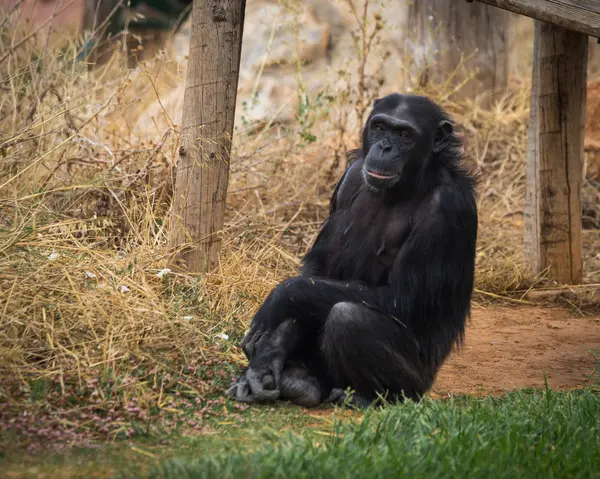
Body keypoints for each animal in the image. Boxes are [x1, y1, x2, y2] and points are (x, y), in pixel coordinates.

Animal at [225, 93, 478, 408]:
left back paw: (368, 397)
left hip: (417, 384)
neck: (409, 186)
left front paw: (277, 297)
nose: (385, 147)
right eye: (380, 127)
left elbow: (403, 297)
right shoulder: (350, 178)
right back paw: (300, 379)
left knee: (348, 318)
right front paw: (267, 358)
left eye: (405, 134)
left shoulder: (446, 209)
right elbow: (318, 269)